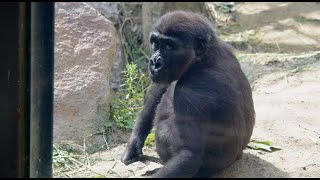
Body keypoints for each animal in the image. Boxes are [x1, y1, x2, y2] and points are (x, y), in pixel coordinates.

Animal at [120, 10, 255, 178]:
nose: (154, 62)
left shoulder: (192, 94)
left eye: (169, 46)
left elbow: (188, 155)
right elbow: (160, 87)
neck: (203, 58)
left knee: (164, 130)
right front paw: (133, 143)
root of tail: (238, 157)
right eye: (156, 43)